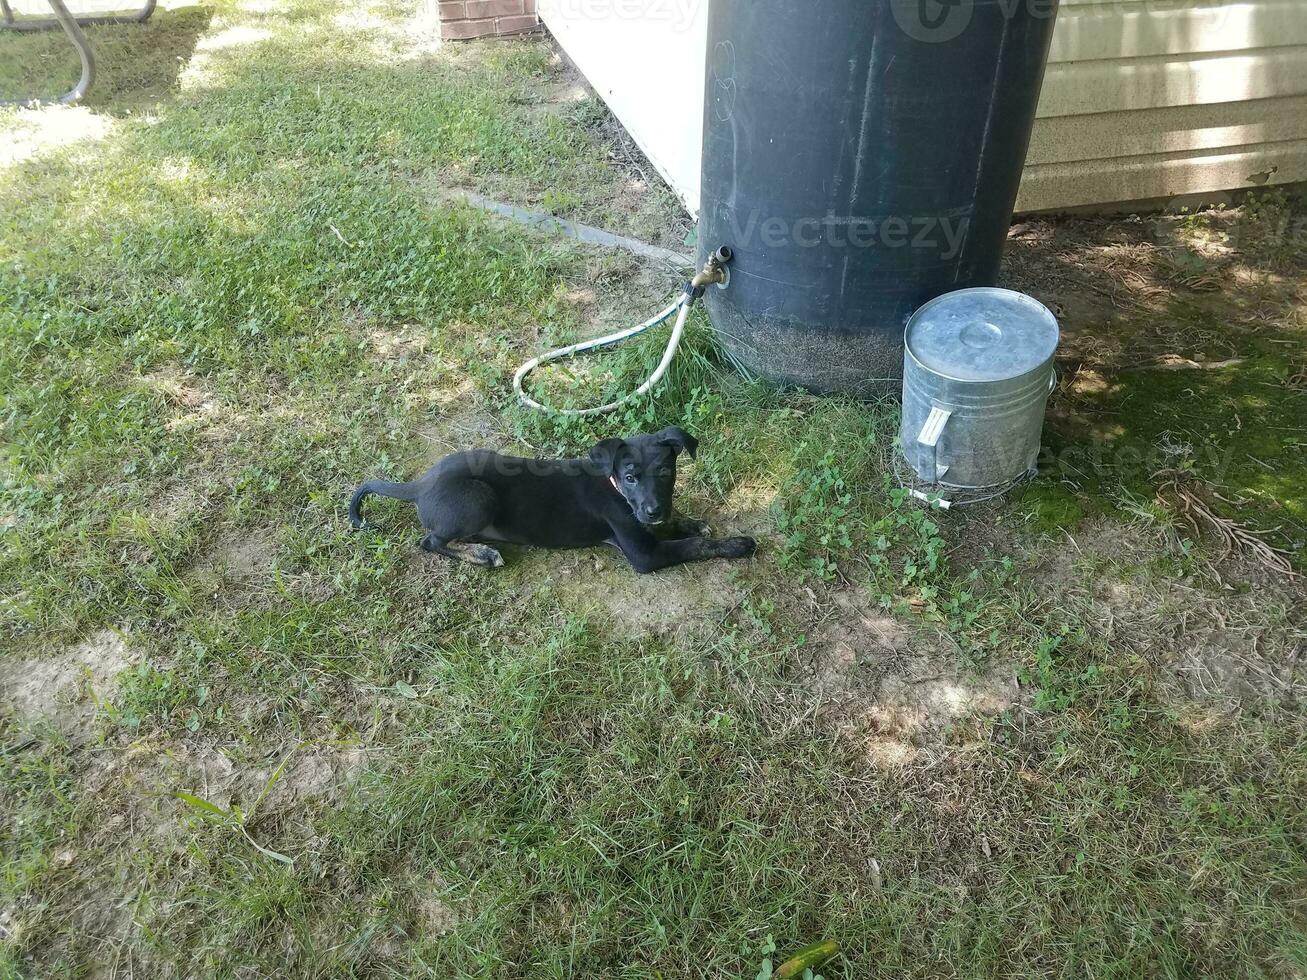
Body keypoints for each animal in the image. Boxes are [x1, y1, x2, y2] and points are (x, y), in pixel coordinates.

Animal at [350, 428, 758, 574]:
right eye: (630, 477)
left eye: (666, 472)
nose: (654, 509)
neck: (614, 487)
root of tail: (420, 484)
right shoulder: (645, 554)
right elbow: (691, 546)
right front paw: (737, 544)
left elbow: (679, 527)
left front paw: (688, 520)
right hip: (479, 498)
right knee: (431, 541)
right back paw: (481, 555)